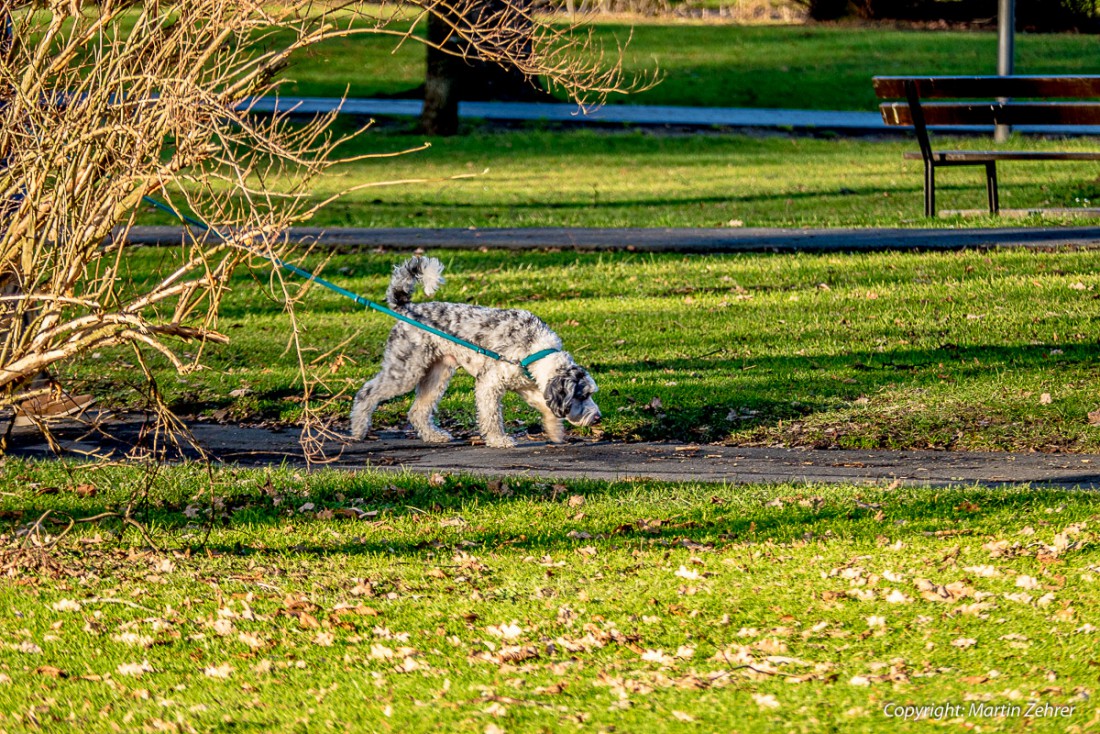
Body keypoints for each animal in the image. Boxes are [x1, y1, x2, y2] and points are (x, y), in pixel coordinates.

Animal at [349, 258, 602, 453]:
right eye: (581, 396)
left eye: (590, 394)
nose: (598, 418)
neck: (536, 350)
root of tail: (407, 310)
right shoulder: (489, 384)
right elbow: (491, 417)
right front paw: (499, 440)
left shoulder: (529, 386)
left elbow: (546, 407)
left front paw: (555, 431)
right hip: (405, 370)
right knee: (367, 393)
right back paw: (358, 429)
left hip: (437, 374)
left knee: (418, 411)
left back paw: (434, 436)